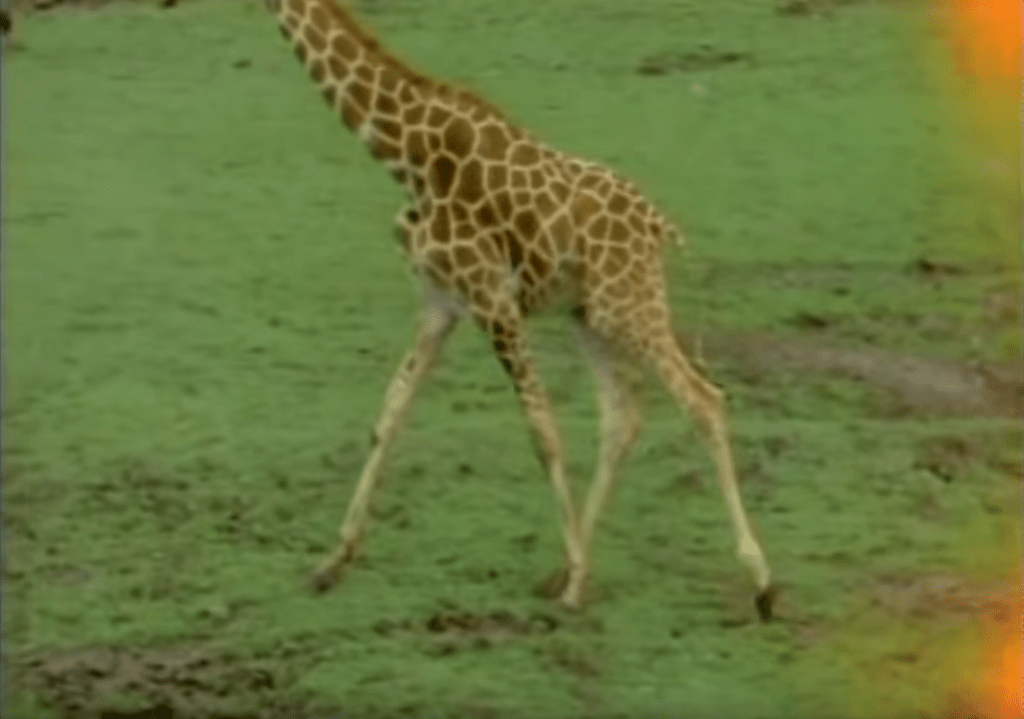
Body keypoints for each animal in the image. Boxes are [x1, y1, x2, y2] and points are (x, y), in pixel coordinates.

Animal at [265, 0, 776, 621]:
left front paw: (579, 575)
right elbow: (389, 413)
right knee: (622, 414)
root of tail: (657, 225)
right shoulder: (440, 301)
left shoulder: (492, 298)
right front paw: (332, 561)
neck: (407, 154)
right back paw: (564, 571)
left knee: (703, 399)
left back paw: (758, 581)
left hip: (626, 304)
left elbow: (542, 431)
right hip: (588, 316)